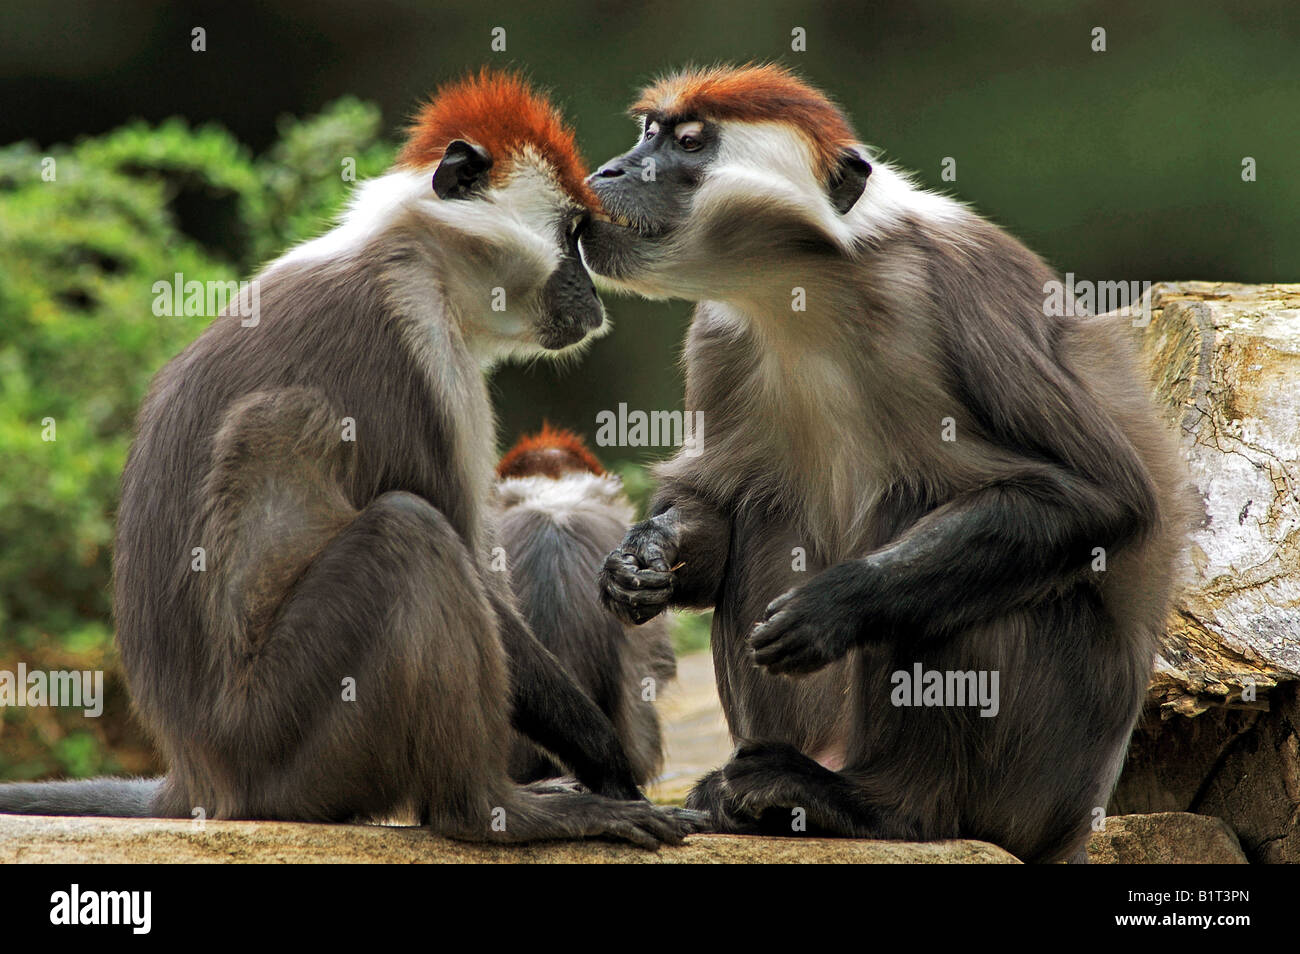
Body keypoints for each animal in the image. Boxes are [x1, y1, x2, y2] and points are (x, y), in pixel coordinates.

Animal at [585, 63, 1185, 863]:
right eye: (647, 134)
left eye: (687, 143)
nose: (612, 170)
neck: (806, 290)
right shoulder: (719, 333)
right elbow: (714, 510)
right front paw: (639, 562)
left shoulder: (958, 293)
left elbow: (1100, 500)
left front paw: (839, 602)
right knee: (770, 507)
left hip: (1040, 780)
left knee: (939, 539)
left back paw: (879, 808)